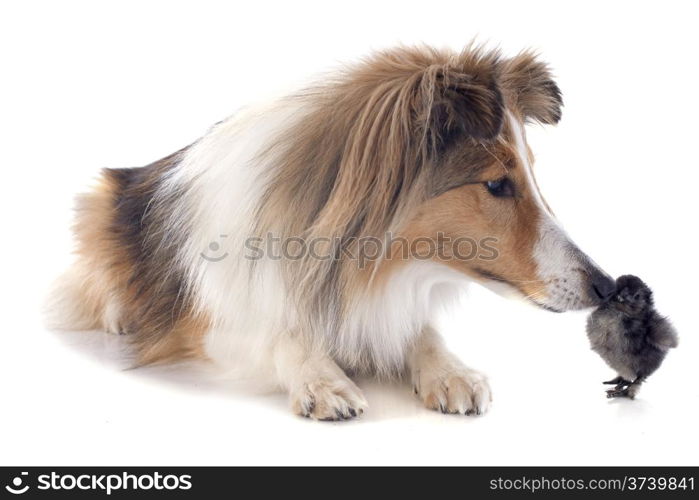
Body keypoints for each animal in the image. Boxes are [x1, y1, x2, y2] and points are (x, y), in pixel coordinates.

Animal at [49, 47, 616, 420]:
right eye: (497, 184)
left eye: (533, 175)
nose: (607, 286)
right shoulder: (211, 321)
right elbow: (282, 333)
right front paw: (324, 381)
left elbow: (420, 331)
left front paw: (451, 371)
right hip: (93, 204)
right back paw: (120, 314)